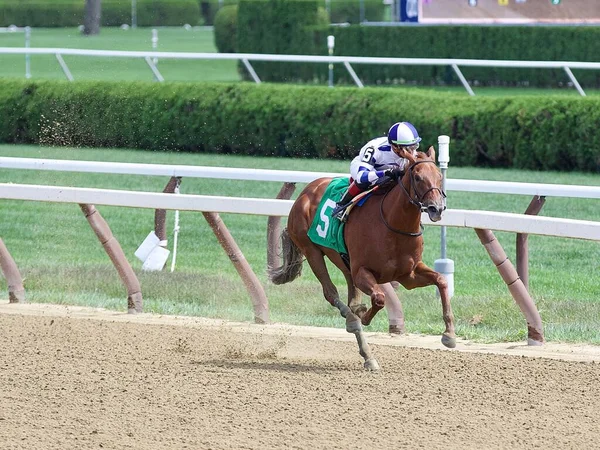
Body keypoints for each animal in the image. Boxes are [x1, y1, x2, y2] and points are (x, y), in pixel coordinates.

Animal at [268, 148, 454, 370]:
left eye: (439, 176)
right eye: (417, 177)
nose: (437, 208)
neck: (393, 224)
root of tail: (306, 192)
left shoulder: (408, 275)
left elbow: (441, 280)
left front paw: (449, 335)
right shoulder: (363, 272)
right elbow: (379, 298)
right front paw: (364, 317)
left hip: (343, 261)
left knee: (350, 298)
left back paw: (367, 354)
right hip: (311, 250)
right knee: (331, 294)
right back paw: (353, 321)